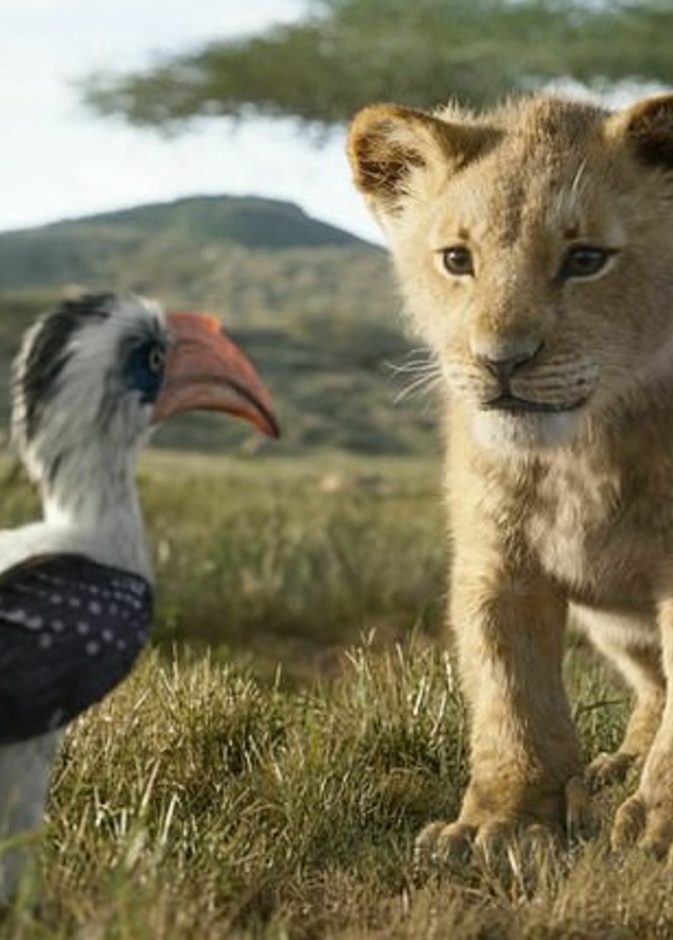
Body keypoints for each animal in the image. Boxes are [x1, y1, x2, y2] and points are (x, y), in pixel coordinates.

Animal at [347, 92, 673, 864]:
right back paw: (614, 768)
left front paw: (661, 827)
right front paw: (501, 825)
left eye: (585, 259)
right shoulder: (496, 562)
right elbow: (511, 697)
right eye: (456, 259)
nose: (501, 361)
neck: (580, 454)